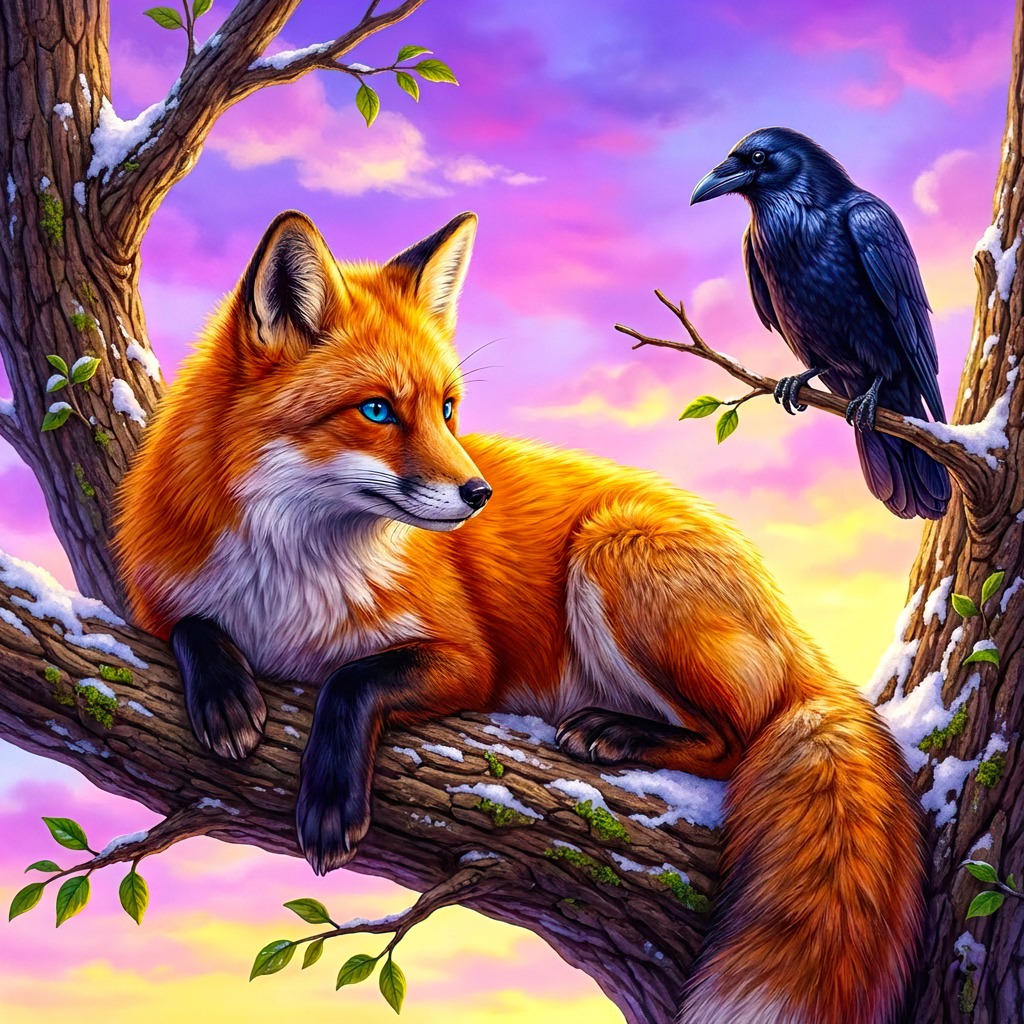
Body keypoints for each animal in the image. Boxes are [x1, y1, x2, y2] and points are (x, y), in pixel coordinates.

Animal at [116, 210, 924, 1024]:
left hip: (611, 553)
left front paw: (332, 797)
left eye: (446, 408)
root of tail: (800, 637)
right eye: (377, 410)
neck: (291, 582)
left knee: (734, 738)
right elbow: (192, 627)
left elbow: (352, 679)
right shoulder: (157, 596)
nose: (479, 494)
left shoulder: (470, 661)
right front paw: (224, 695)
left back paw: (618, 732)